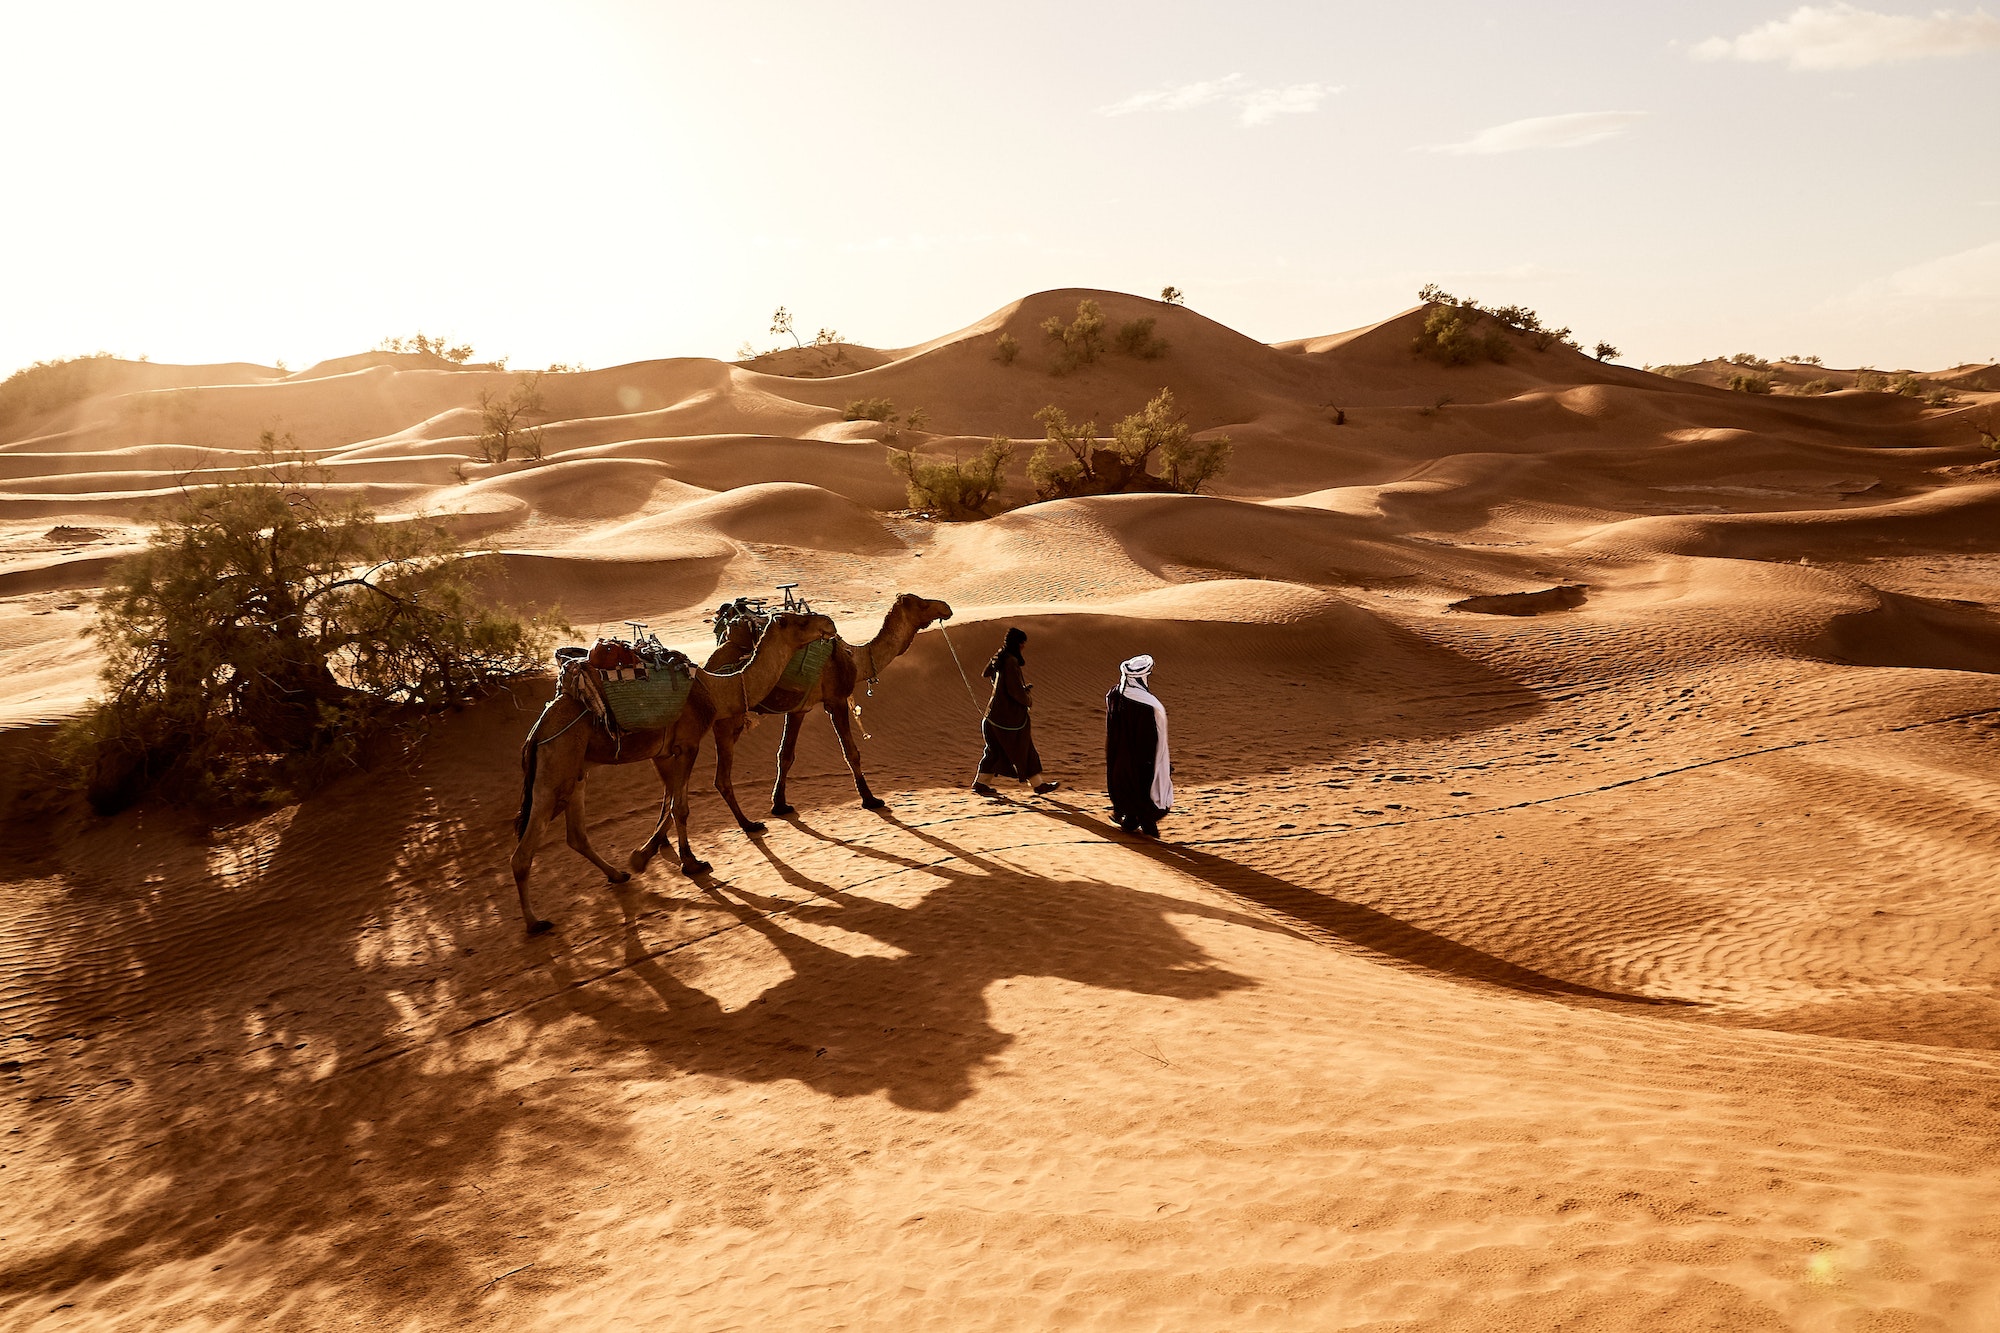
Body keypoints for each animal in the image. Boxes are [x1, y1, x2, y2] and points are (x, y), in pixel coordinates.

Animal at [516, 608, 836, 928]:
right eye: (800, 621)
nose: (829, 624)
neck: (714, 690)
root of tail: (536, 732)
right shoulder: (687, 744)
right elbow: (680, 807)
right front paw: (691, 863)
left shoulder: (662, 752)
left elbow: (669, 800)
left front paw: (645, 855)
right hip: (555, 768)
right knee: (524, 851)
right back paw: (535, 922)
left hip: (576, 771)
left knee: (576, 835)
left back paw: (618, 874)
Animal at [704, 588, 952, 824]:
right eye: (922, 602)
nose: (946, 607)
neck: (855, 657)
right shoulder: (836, 700)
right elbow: (851, 752)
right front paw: (870, 799)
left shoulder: (799, 709)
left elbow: (785, 755)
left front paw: (780, 805)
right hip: (727, 720)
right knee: (721, 776)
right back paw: (748, 824)